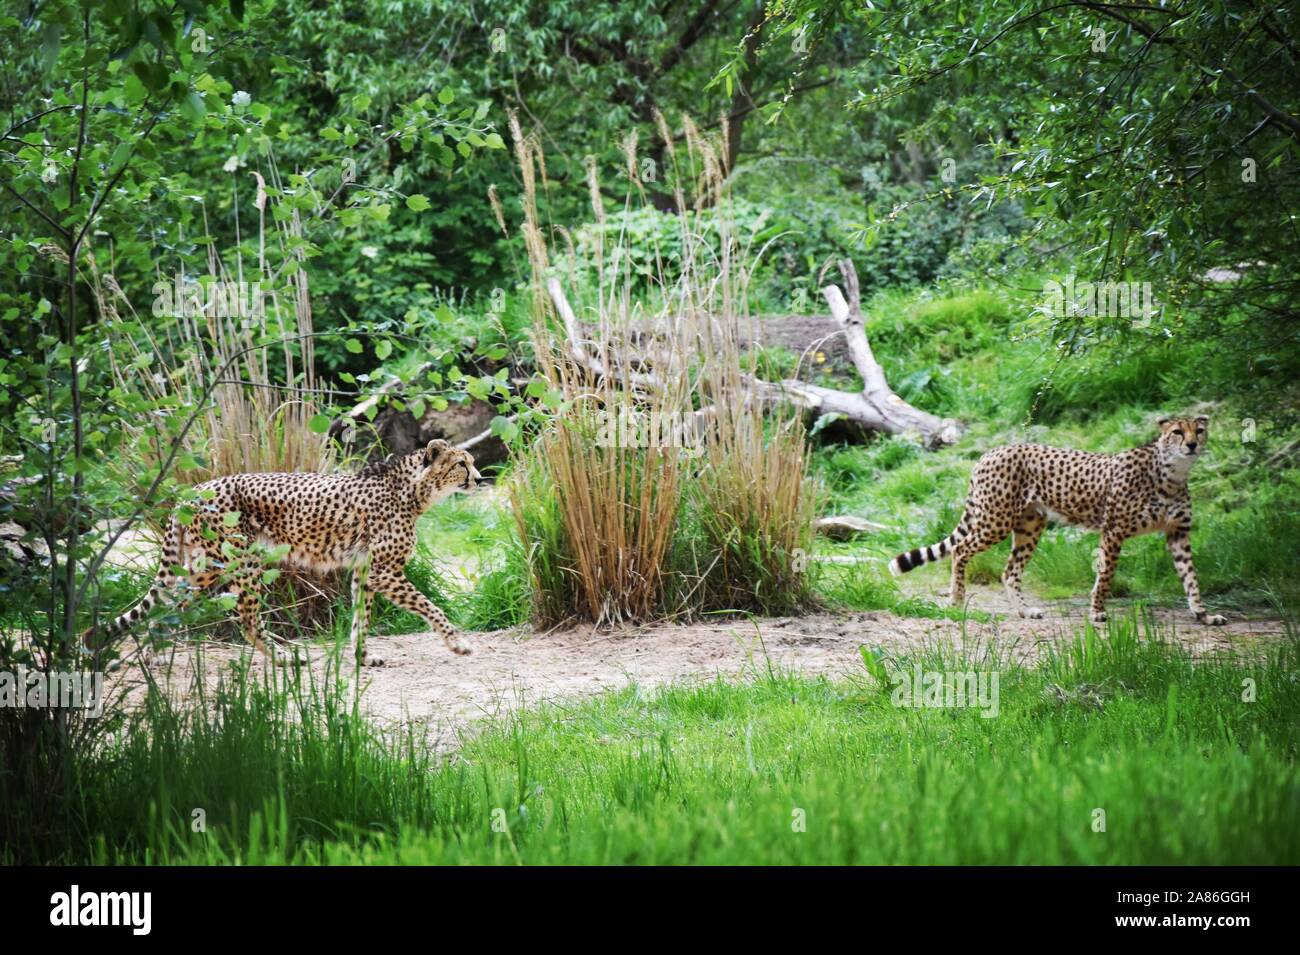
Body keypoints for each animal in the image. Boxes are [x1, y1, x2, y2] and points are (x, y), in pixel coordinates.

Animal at [85, 441, 483, 665]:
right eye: (461, 464)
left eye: (471, 461)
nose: (479, 479)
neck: (414, 490)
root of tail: (194, 490)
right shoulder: (384, 571)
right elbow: (430, 605)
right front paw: (458, 642)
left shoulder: (365, 571)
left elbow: (361, 619)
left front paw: (363, 658)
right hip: (238, 563)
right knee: (246, 620)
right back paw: (284, 660)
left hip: (204, 568)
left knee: (168, 608)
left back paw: (151, 658)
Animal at [889, 413, 1222, 623]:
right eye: (1177, 432)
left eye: (1199, 430)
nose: (1192, 444)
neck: (1172, 474)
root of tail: (990, 451)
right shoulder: (1113, 531)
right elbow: (1106, 574)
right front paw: (1097, 612)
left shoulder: (1178, 533)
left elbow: (1191, 577)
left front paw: (1203, 614)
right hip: (996, 521)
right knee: (960, 550)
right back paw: (957, 600)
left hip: (1029, 526)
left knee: (1009, 571)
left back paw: (1025, 612)